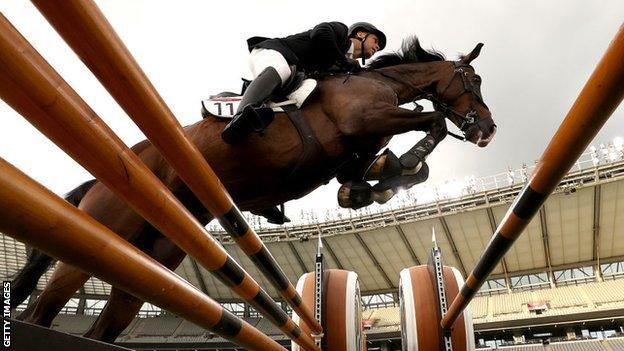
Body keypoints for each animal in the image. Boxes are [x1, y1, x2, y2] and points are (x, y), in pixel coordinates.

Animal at [9, 38, 494, 344]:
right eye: (474, 81)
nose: (487, 130)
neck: (377, 82)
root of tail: (106, 173)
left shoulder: (355, 152)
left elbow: (383, 168)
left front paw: (373, 188)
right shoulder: (366, 121)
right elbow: (433, 121)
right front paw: (404, 166)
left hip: (151, 260)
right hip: (103, 233)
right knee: (41, 311)